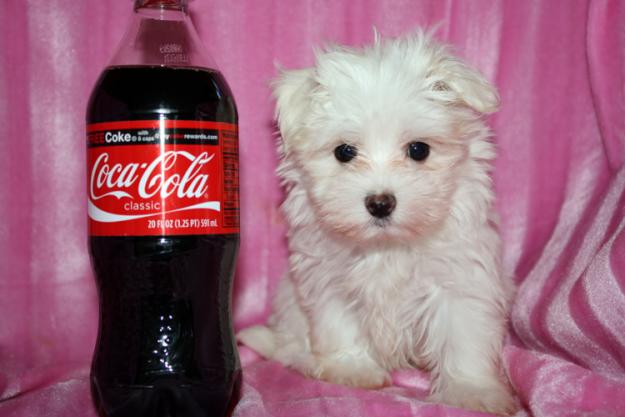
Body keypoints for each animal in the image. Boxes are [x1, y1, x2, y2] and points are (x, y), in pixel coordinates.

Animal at [236, 30, 516, 414]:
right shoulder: (328, 278)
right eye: (344, 152)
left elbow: (464, 337)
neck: (386, 246)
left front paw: (472, 391)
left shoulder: (461, 279)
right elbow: (339, 322)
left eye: (418, 150)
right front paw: (351, 369)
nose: (380, 203)